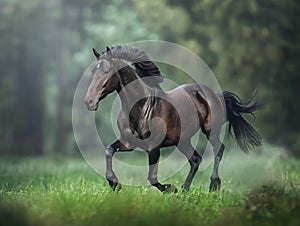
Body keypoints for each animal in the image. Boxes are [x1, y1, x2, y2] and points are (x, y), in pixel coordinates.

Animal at [84, 44, 262, 192]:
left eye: (107, 72)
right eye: (93, 72)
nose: (89, 102)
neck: (141, 107)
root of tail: (215, 94)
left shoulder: (153, 147)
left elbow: (152, 178)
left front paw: (170, 188)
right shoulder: (129, 143)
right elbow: (108, 150)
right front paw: (115, 184)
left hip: (210, 130)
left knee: (218, 149)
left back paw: (213, 185)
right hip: (182, 140)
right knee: (195, 159)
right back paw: (185, 189)